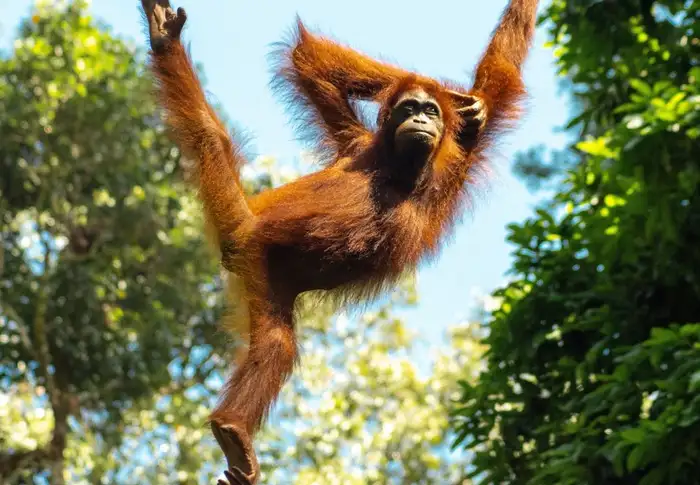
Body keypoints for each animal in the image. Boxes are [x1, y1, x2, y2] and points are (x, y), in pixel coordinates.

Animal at [140, 0, 539, 482]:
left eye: (429, 111)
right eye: (409, 108)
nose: (421, 118)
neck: (399, 172)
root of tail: (242, 229)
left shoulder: (456, 154)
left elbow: (498, 77)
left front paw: (463, 100)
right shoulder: (361, 145)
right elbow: (311, 59)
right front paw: (463, 99)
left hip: (265, 274)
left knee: (276, 341)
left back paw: (232, 431)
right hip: (256, 252)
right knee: (209, 137)